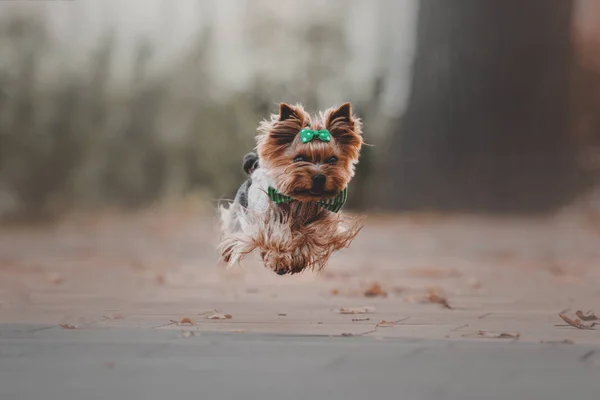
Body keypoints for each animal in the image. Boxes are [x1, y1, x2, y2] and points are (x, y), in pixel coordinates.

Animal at [217, 102, 364, 276]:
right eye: (299, 158)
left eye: (332, 160)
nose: (319, 177)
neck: (301, 201)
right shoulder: (267, 220)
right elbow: (276, 237)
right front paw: (280, 260)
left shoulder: (322, 220)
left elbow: (311, 234)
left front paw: (297, 258)